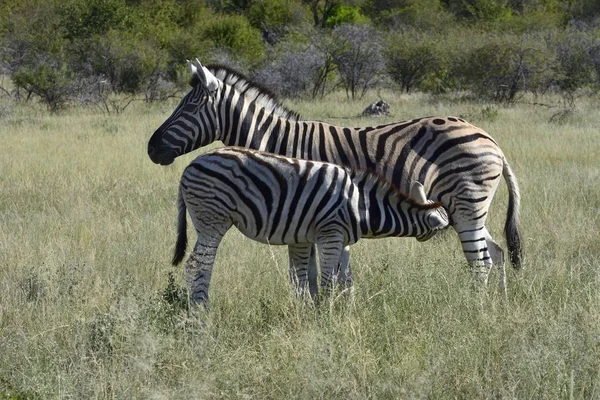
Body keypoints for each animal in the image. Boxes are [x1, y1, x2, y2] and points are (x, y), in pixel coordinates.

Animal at [148, 59, 524, 288]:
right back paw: (496, 310)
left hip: (467, 203)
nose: (152, 148)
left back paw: (475, 309)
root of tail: (491, 141)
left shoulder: (307, 211)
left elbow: (312, 276)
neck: (278, 142)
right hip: (467, 210)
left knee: (481, 261)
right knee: (497, 254)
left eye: (189, 107)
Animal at [171, 147, 448, 306]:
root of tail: (189, 165)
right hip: (212, 219)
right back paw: (200, 310)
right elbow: (326, 282)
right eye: (444, 229)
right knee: (198, 264)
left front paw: (342, 311)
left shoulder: (326, 239)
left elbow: (340, 280)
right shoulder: (331, 234)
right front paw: (327, 315)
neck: (362, 205)